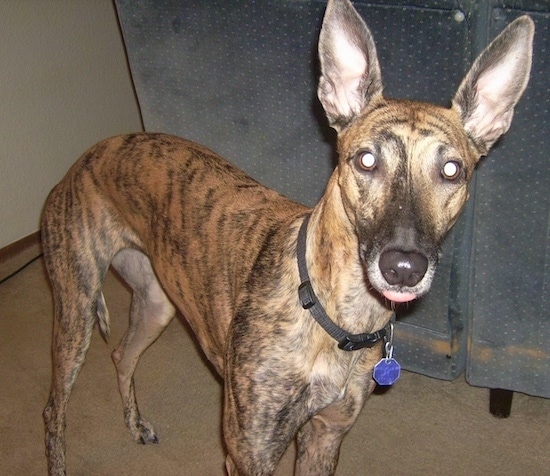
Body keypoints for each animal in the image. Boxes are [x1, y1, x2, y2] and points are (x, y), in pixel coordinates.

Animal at [42, 1, 536, 474]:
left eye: (452, 170)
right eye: (366, 160)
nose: (403, 268)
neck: (333, 315)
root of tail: (84, 158)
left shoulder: (325, 436)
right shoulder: (248, 455)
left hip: (156, 303)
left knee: (121, 356)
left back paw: (136, 423)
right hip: (75, 311)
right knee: (53, 408)